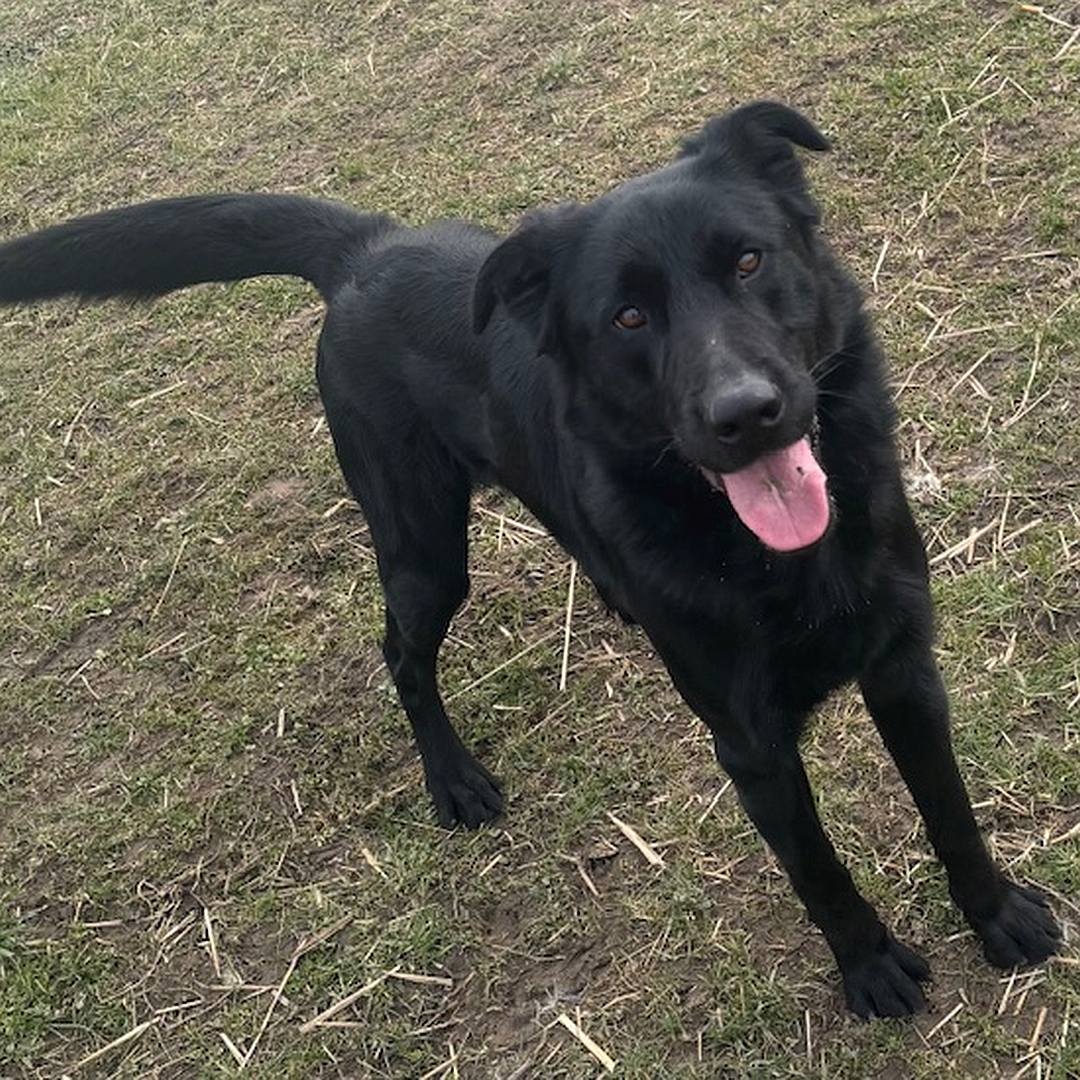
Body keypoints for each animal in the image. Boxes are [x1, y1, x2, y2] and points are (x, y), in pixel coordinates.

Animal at [0, 99, 1058, 1010]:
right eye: (629, 318)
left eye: (750, 261)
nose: (745, 416)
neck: (768, 558)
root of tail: (368, 249)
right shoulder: (752, 744)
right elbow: (820, 871)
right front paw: (869, 969)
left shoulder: (905, 668)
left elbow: (951, 811)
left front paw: (998, 916)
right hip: (424, 546)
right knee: (401, 652)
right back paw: (453, 778)